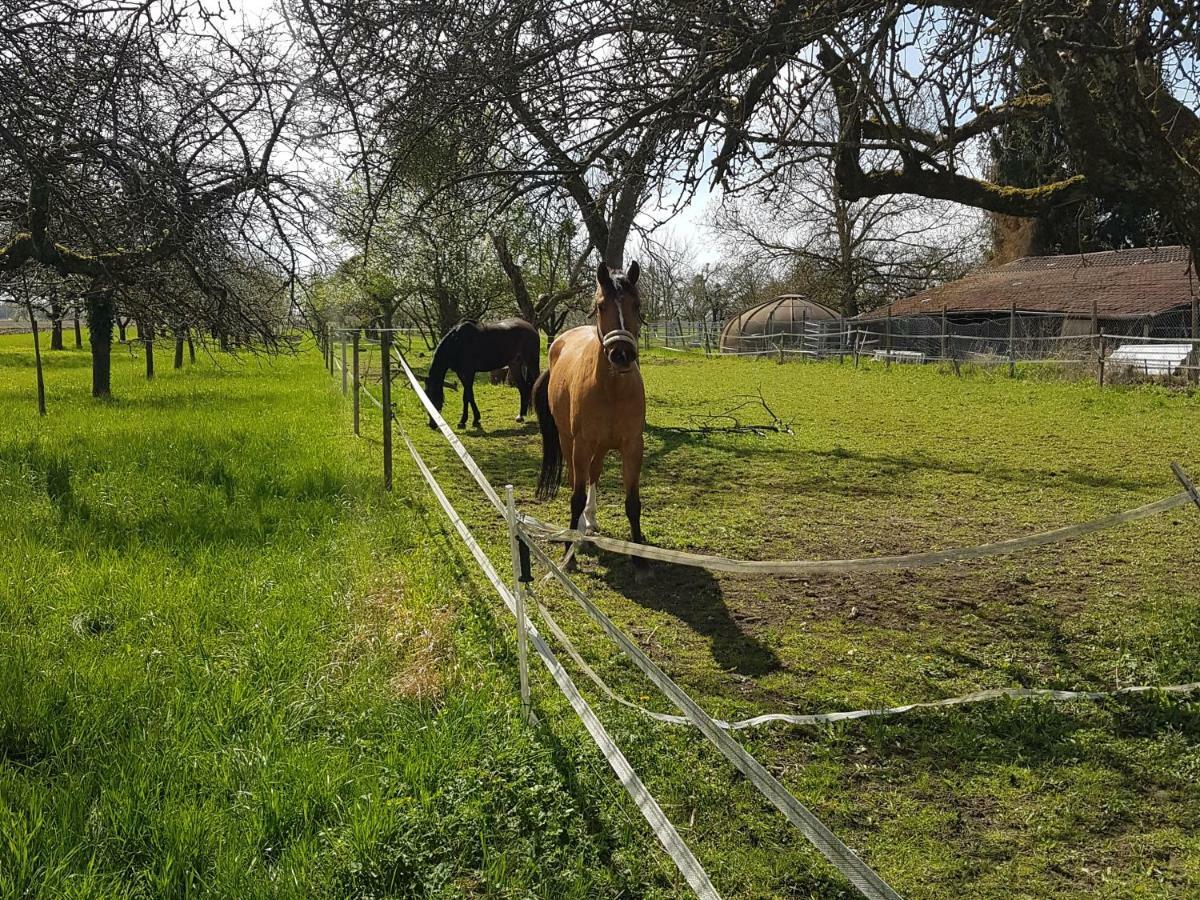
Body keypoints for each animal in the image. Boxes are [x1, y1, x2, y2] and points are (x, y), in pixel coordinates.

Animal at [535, 259, 648, 578]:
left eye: (636, 305)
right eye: (601, 306)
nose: (621, 354)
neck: (611, 388)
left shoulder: (632, 446)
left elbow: (632, 502)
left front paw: (639, 557)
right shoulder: (582, 444)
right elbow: (575, 496)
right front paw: (569, 552)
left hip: (600, 446)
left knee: (594, 475)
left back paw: (591, 520)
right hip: (569, 440)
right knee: (578, 477)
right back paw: (581, 530)